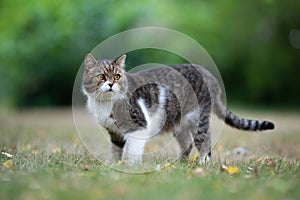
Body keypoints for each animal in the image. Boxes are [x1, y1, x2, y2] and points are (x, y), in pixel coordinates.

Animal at [81, 53, 274, 166]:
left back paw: (202, 163)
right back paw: (178, 164)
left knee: (204, 140)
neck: (105, 104)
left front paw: (131, 168)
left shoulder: (139, 127)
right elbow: (116, 151)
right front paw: (114, 167)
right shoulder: (114, 132)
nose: (111, 84)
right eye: (101, 77)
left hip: (198, 118)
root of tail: (208, 73)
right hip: (178, 124)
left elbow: (134, 151)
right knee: (187, 143)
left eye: (117, 76)